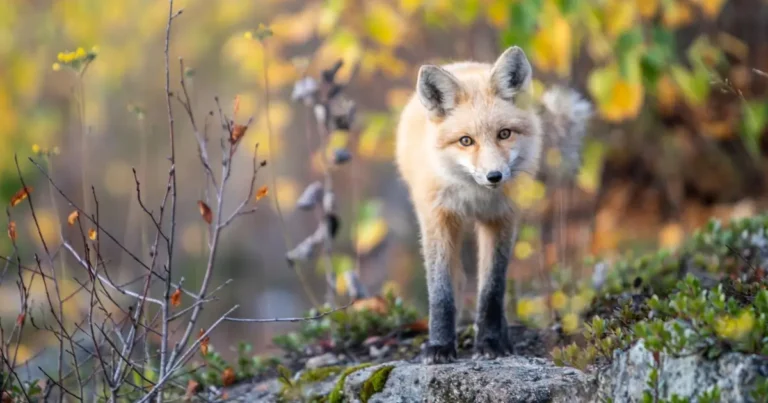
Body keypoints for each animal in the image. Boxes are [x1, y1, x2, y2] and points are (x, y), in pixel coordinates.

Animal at [396, 45, 592, 364]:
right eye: (466, 141)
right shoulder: (437, 218)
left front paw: (489, 342)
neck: (474, 197)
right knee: (457, 279)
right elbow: (441, 293)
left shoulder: (502, 219)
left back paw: (503, 336)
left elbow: (492, 290)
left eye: (504, 134)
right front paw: (439, 345)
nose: (494, 176)